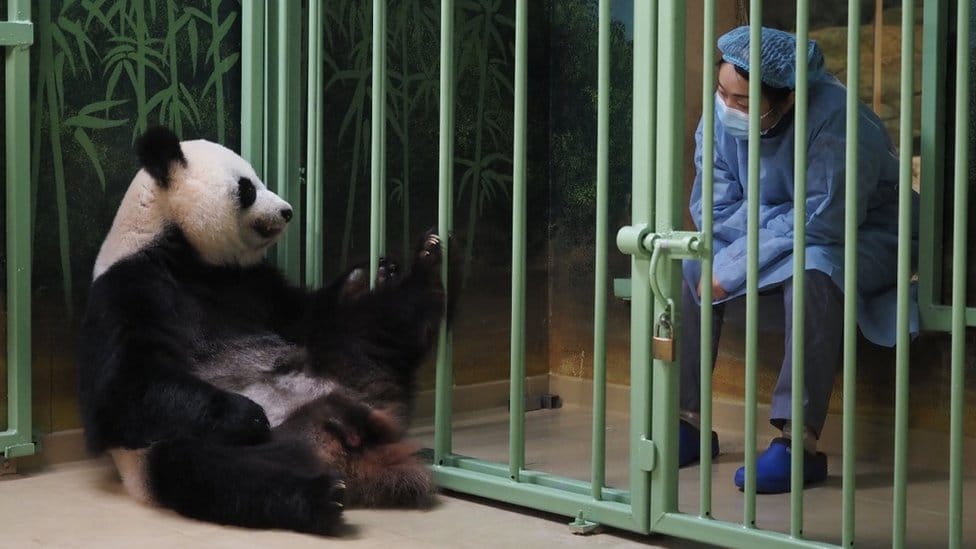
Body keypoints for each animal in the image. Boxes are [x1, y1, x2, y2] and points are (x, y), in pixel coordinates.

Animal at [77, 126, 447, 535]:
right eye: (247, 188)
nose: (286, 211)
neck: (181, 250)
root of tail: (336, 446)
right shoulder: (128, 290)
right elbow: (120, 393)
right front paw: (248, 414)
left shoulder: (250, 282)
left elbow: (304, 315)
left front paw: (367, 274)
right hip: (174, 450)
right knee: (217, 471)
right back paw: (320, 498)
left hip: (343, 364)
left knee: (374, 326)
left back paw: (426, 268)